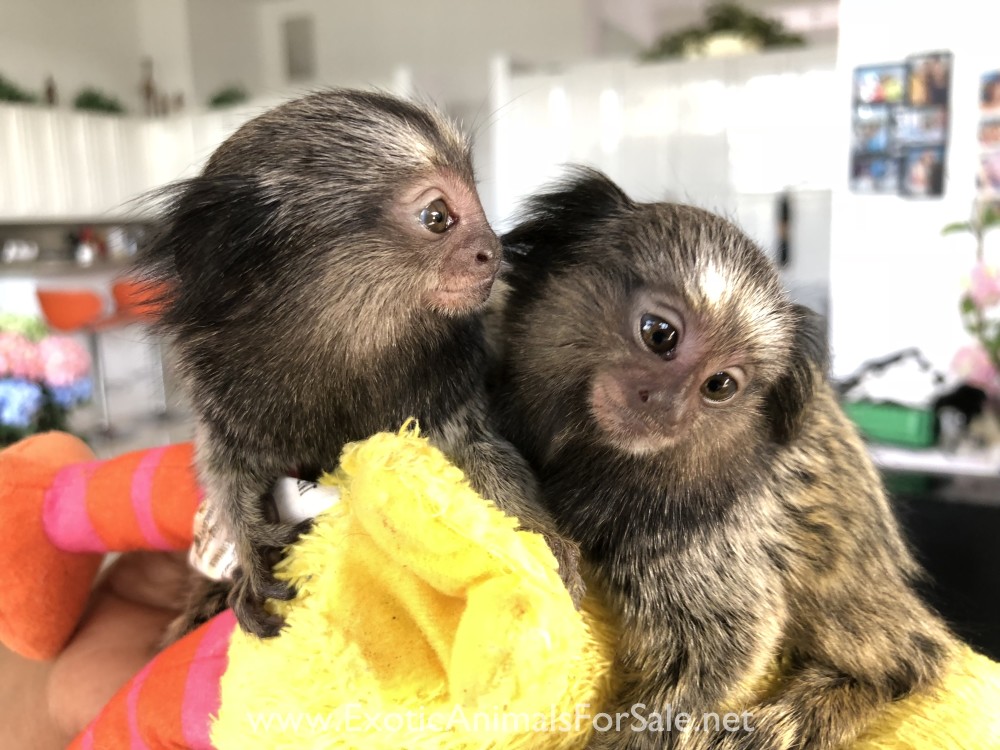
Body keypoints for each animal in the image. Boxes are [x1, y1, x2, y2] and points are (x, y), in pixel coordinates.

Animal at [138, 89, 583, 640]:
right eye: (437, 217)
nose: (492, 250)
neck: (347, 345)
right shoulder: (222, 390)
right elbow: (225, 465)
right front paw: (247, 547)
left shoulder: (449, 388)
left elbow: (482, 456)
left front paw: (542, 540)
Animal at [491, 167, 956, 750]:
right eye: (659, 334)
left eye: (720, 386)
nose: (663, 406)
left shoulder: (714, 537)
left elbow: (717, 647)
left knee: (911, 654)